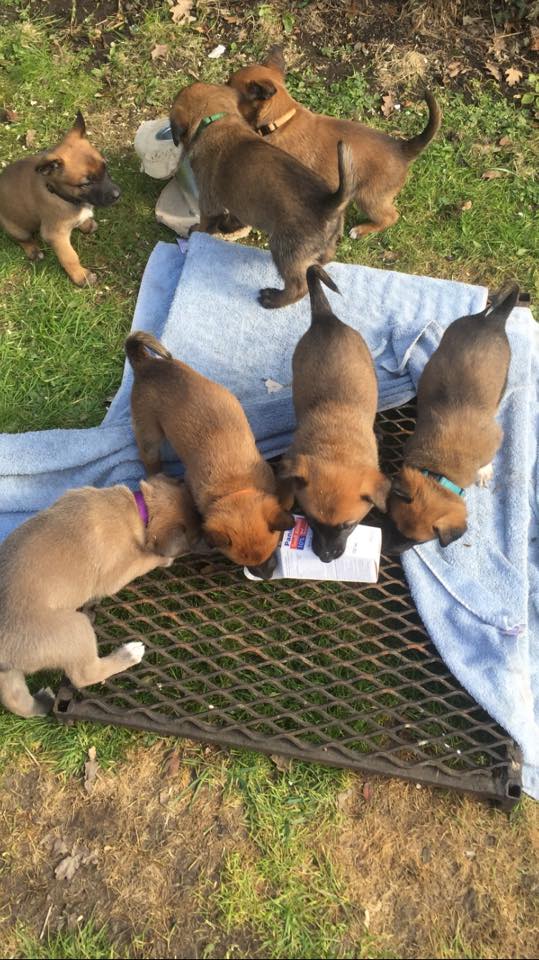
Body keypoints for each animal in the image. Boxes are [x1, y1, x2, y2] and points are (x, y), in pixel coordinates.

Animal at [0, 112, 120, 286]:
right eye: (86, 184)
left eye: (105, 167)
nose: (118, 194)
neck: (59, 194)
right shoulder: (56, 235)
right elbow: (70, 257)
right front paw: (81, 276)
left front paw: (86, 224)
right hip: (17, 228)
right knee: (23, 240)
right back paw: (33, 251)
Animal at [0, 474, 203, 718]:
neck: (137, 511)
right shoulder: (116, 575)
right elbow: (145, 559)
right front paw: (163, 559)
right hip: (75, 628)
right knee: (85, 675)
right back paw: (128, 654)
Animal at [125, 332, 294, 576]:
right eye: (240, 561)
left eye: (272, 551)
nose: (266, 576)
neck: (234, 487)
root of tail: (146, 364)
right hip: (149, 435)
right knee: (150, 459)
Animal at [169, 81, 355, 308]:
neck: (216, 120)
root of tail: (329, 203)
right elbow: (235, 217)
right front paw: (228, 226)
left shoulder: (209, 203)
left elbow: (205, 224)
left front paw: (195, 231)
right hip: (323, 246)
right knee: (323, 260)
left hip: (285, 249)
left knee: (299, 287)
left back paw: (272, 299)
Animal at [386, 283, 519, 553]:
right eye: (391, 522)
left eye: (416, 542)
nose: (387, 551)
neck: (440, 470)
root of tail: (491, 321)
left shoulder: (494, 438)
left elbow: (488, 457)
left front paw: (484, 470)